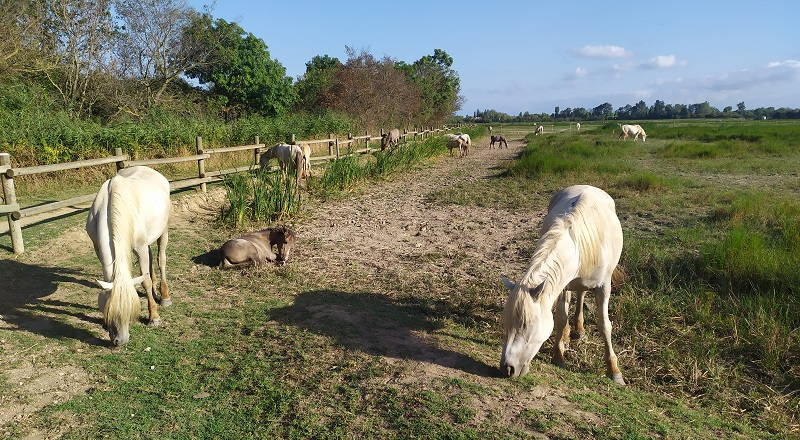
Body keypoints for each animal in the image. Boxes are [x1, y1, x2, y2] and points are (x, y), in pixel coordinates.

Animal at [86, 165, 170, 348]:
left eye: (130, 311)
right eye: (108, 310)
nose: (120, 341)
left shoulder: (140, 247)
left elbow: (145, 281)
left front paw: (154, 317)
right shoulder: (98, 248)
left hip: (163, 230)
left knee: (161, 259)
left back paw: (165, 297)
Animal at [500, 184, 624, 384]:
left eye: (525, 326)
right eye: (506, 323)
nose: (507, 369)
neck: (578, 247)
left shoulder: (603, 287)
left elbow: (605, 325)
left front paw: (614, 371)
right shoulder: (561, 286)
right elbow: (560, 320)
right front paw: (559, 356)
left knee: (581, 294)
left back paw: (579, 330)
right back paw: (568, 335)